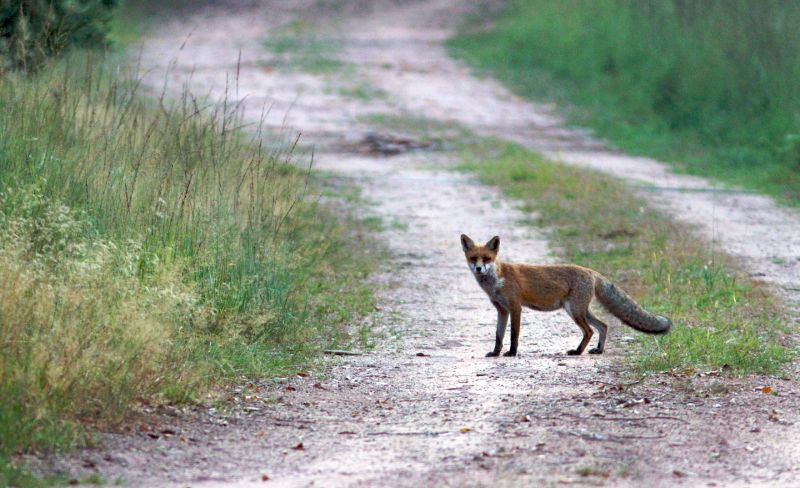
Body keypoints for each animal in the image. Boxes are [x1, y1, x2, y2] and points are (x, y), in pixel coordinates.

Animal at [460, 234, 672, 356]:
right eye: (473, 258)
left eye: (487, 258)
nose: (479, 268)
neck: (497, 280)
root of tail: (591, 271)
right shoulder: (502, 310)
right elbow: (498, 336)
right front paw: (495, 353)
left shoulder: (515, 308)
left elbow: (514, 335)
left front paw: (512, 353)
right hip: (580, 310)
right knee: (603, 326)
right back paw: (598, 350)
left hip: (574, 310)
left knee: (590, 331)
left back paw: (577, 351)